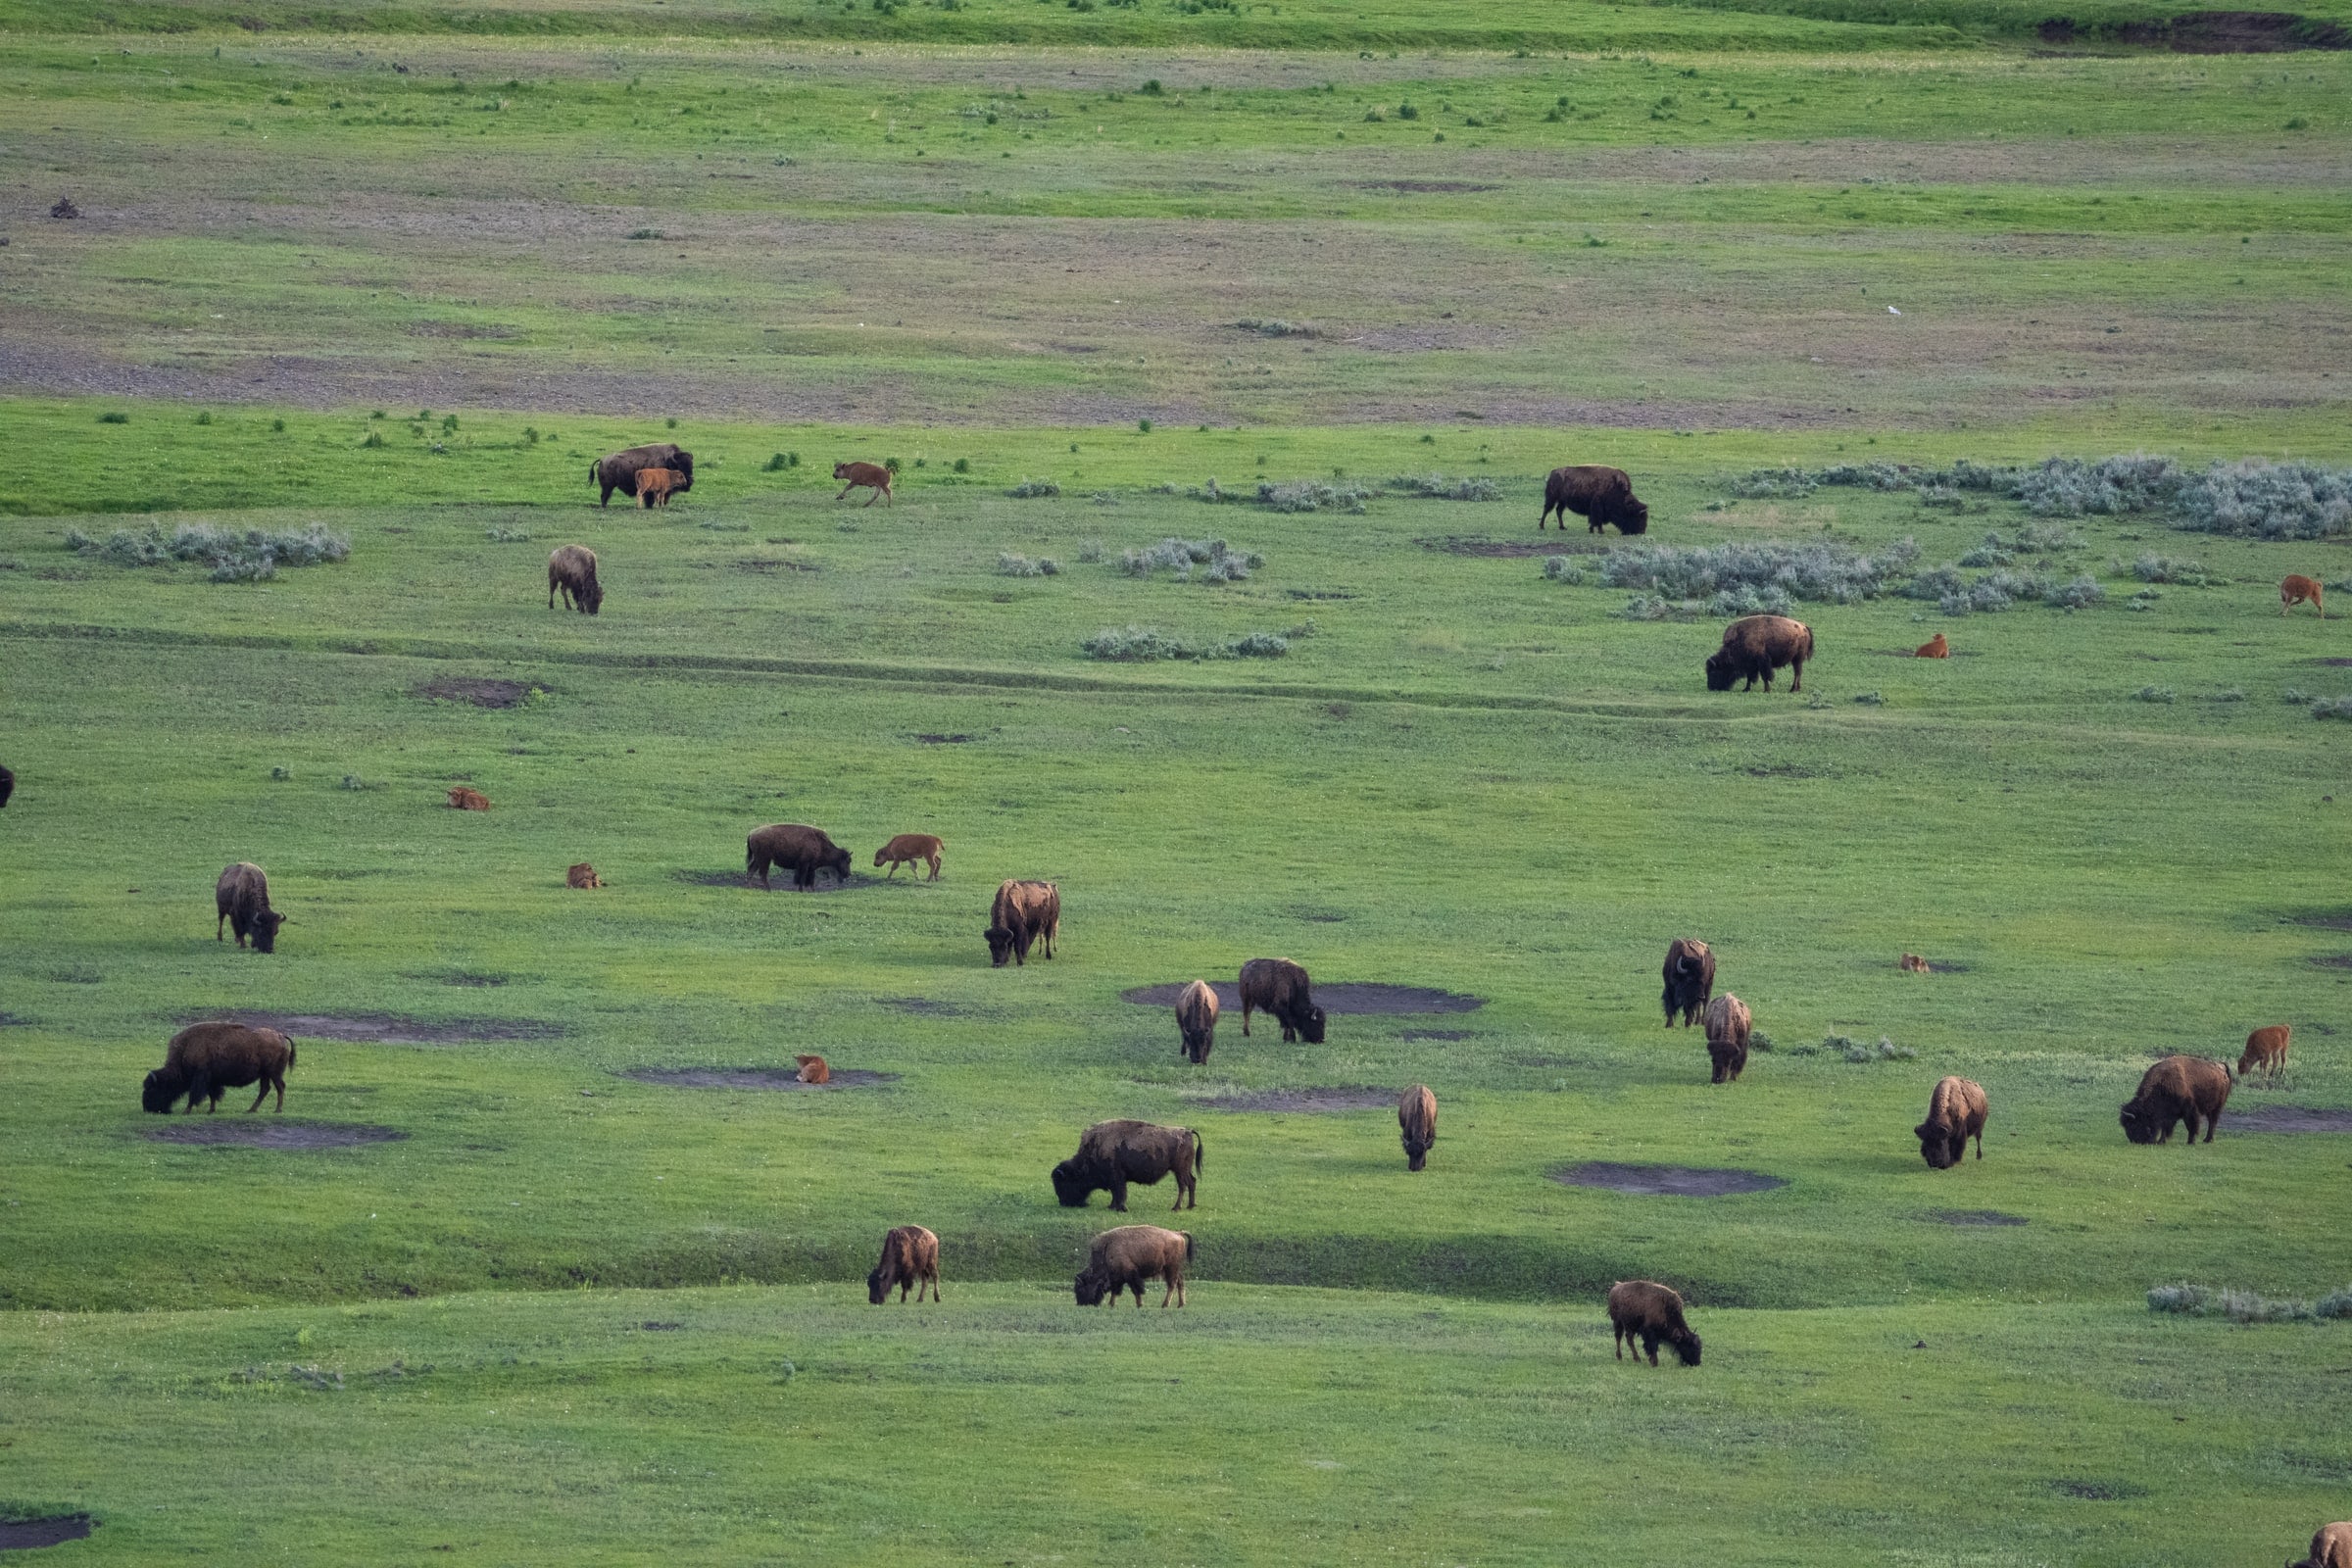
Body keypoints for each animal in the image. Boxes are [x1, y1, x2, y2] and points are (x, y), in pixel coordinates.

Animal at [142, 1022, 296, 1114]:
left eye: (153, 1089)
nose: (147, 1108)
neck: (186, 1047)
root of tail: (280, 1036)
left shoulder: (200, 1077)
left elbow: (194, 1094)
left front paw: (187, 1110)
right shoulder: (212, 1080)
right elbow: (212, 1094)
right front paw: (211, 1110)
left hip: (274, 1073)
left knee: (280, 1087)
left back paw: (277, 1110)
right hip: (265, 1074)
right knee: (265, 1089)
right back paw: (251, 1110)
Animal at [1052, 1119, 1201, 1212]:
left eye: (1064, 1183)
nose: (1064, 1203)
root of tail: (1187, 1132)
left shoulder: (1117, 1177)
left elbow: (1119, 1192)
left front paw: (1121, 1208)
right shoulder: (1115, 1179)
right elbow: (1115, 1193)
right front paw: (1112, 1206)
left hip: (1179, 1170)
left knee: (1183, 1186)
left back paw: (1176, 1208)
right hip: (1184, 1170)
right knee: (1192, 1182)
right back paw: (1190, 1206)